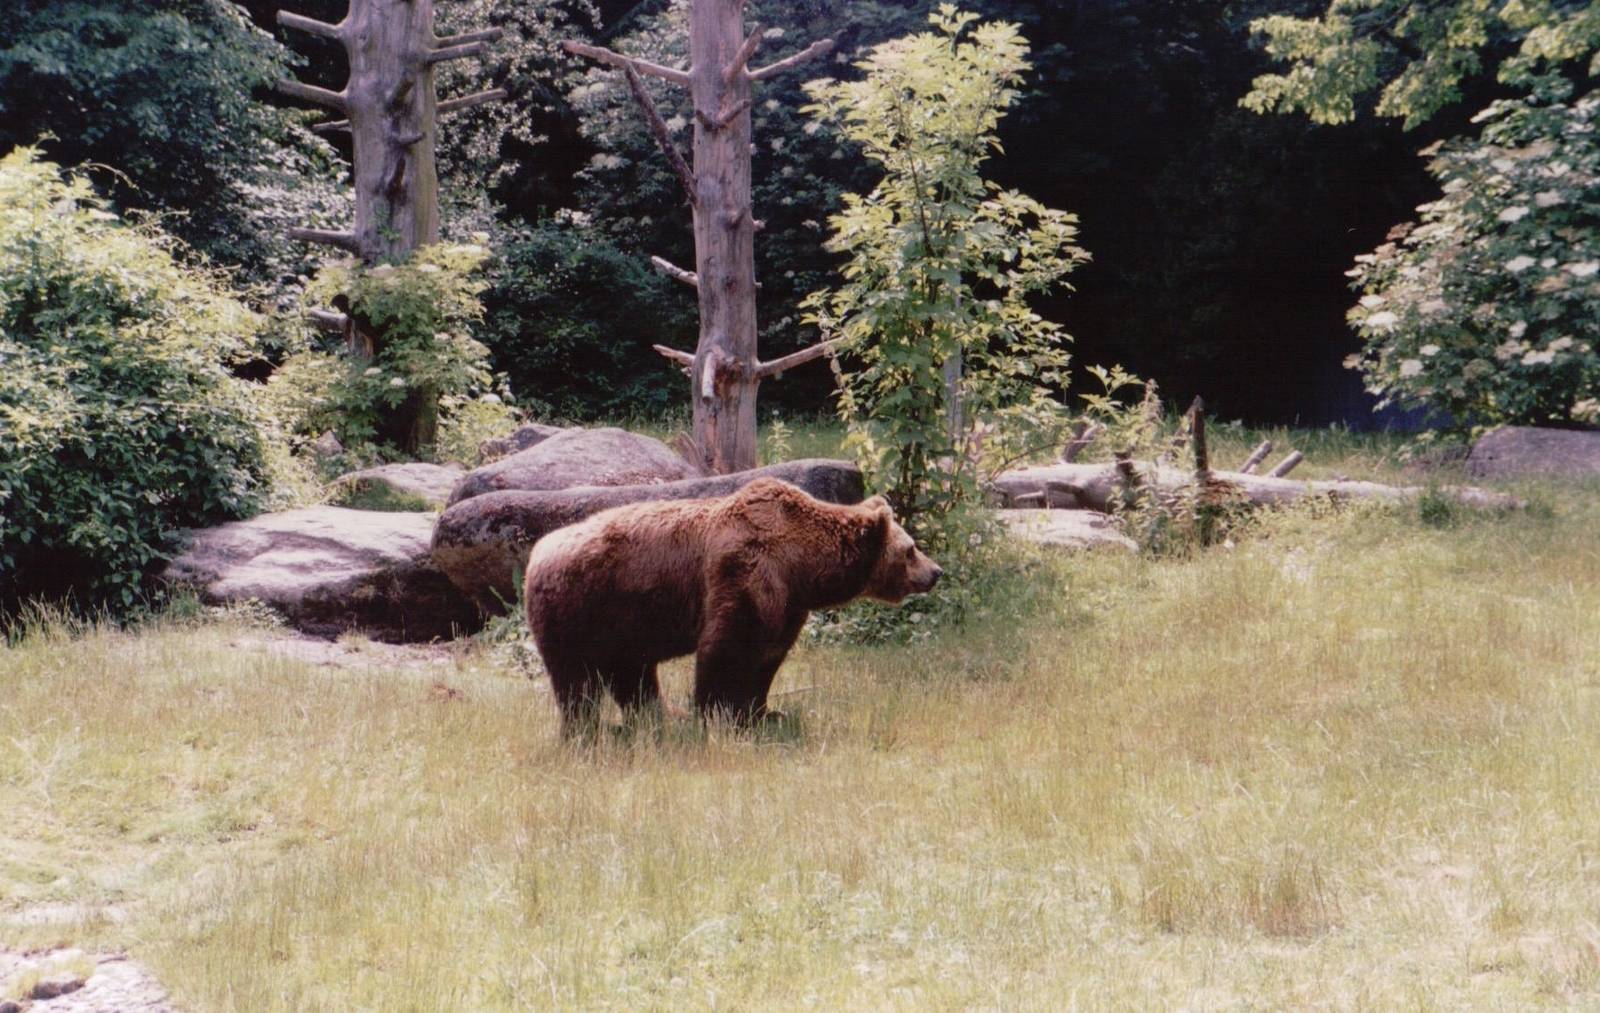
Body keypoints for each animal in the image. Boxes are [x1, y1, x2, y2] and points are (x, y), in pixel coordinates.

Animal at [522, 477, 941, 736]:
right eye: (910, 549)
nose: (936, 572)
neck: (802, 564)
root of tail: (537, 554)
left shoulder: (788, 602)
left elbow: (768, 657)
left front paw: (764, 713)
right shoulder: (744, 570)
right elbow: (725, 647)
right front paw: (717, 716)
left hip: (623, 622)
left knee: (632, 674)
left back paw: (658, 716)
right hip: (578, 609)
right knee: (575, 683)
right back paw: (586, 729)